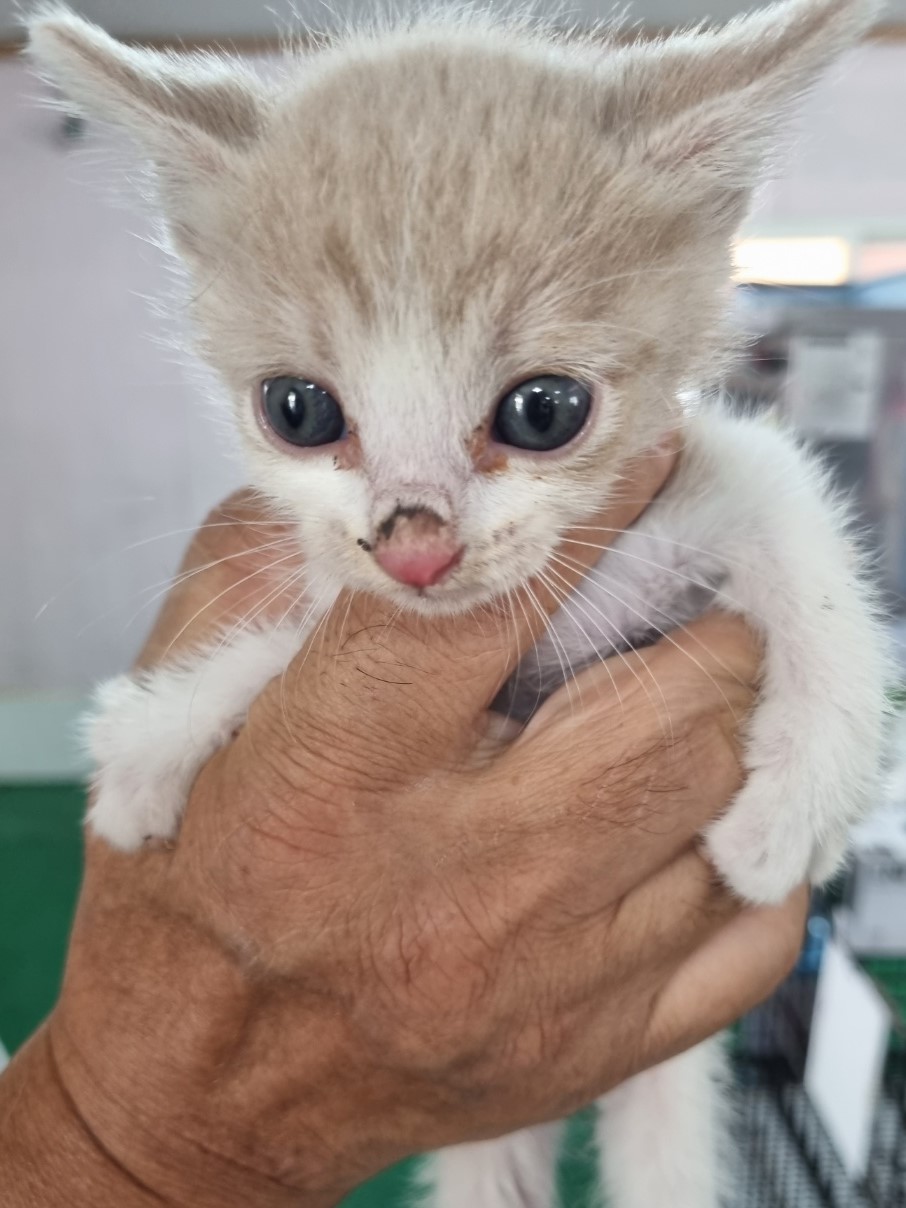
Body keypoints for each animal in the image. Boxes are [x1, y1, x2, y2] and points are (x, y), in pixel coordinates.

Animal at [30, 2, 893, 1208]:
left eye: (544, 411)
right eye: (298, 409)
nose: (418, 549)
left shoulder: (686, 492)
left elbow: (786, 507)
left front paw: (799, 802)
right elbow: (289, 643)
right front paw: (155, 742)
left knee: (665, 1136)